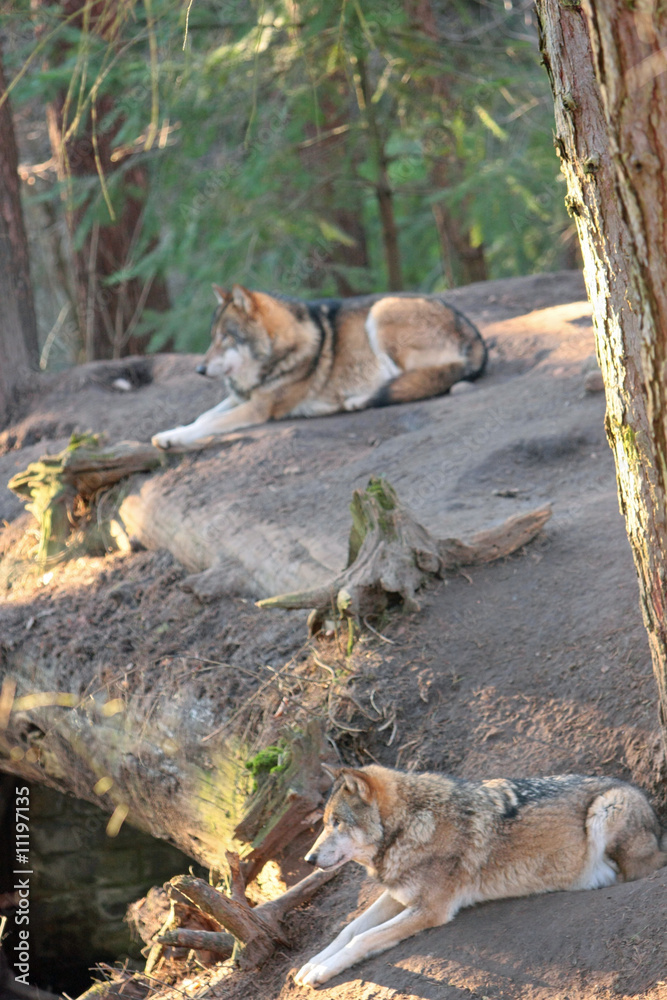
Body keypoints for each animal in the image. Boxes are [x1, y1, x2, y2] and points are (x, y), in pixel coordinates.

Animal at [151, 284, 486, 451]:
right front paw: (171, 433)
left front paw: (175, 437)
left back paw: (354, 400)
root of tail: (475, 336)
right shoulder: (242, 397)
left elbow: (208, 423)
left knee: (414, 381)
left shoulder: (259, 407)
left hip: (380, 312)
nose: (199, 369)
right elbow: (203, 416)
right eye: (212, 338)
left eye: (226, 338)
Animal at [294, 763, 667, 988]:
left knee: (633, 872)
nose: (308, 858)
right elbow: (348, 930)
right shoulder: (398, 894)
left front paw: (322, 971)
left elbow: (363, 938)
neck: (410, 826)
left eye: (337, 823)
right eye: (324, 823)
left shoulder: (430, 910)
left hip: (606, 808)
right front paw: (312, 964)